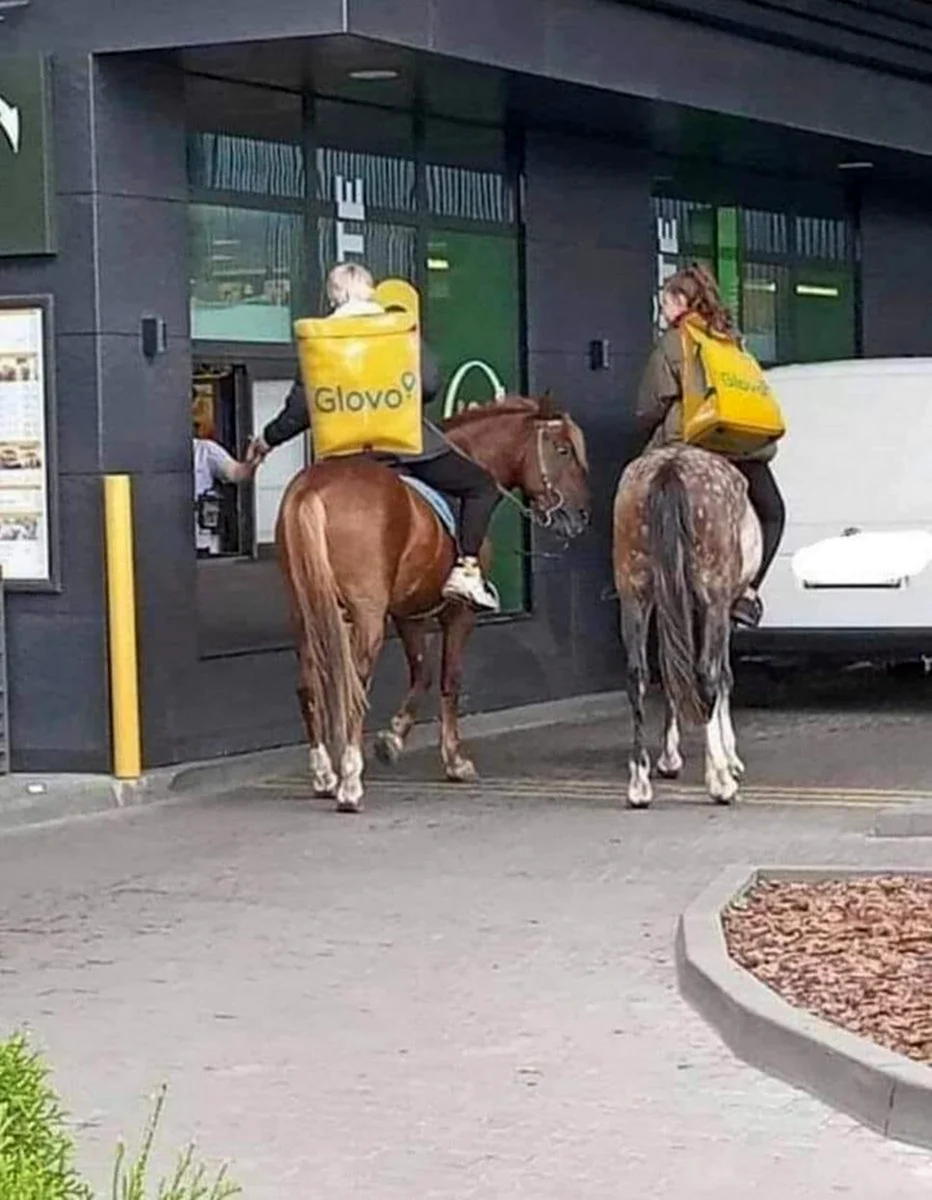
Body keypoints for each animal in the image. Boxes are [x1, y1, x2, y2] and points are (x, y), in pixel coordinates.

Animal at [272, 398, 590, 811]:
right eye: (563, 450)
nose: (581, 516)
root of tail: (315, 491)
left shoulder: (409, 613)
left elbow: (420, 673)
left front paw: (392, 739)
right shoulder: (458, 613)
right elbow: (448, 678)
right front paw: (453, 759)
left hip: (305, 610)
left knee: (309, 686)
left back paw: (325, 774)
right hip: (366, 615)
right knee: (355, 685)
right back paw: (350, 783)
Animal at [614, 444, 758, 806]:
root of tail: (671, 467)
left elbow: (672, 670)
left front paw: (669, 757)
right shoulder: (718, 609)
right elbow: (722, 674)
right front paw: (729, 758)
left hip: (634, 589)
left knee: (638, 674)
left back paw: (639, 784)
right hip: (713, 596)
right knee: (706, 672)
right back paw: (720, 781)